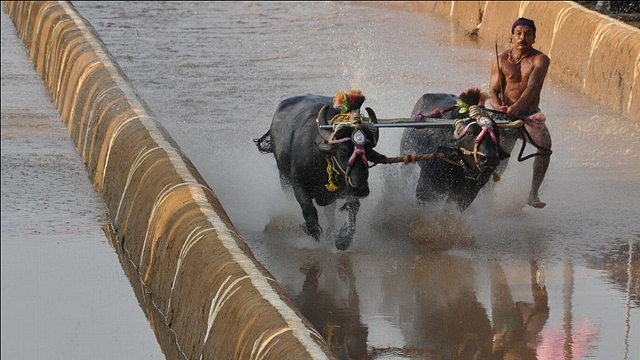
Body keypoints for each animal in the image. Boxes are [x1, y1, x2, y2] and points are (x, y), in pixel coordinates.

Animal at [254, 92, 384, 250]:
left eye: (369, 149)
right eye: (343, 150)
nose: (361, 189)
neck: (323, 160)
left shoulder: (347, 187)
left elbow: (353, 206)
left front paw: (343, 239)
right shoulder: (297, 182)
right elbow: (308, 207)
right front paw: (313, 230)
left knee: (330, 212)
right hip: (283, 177)